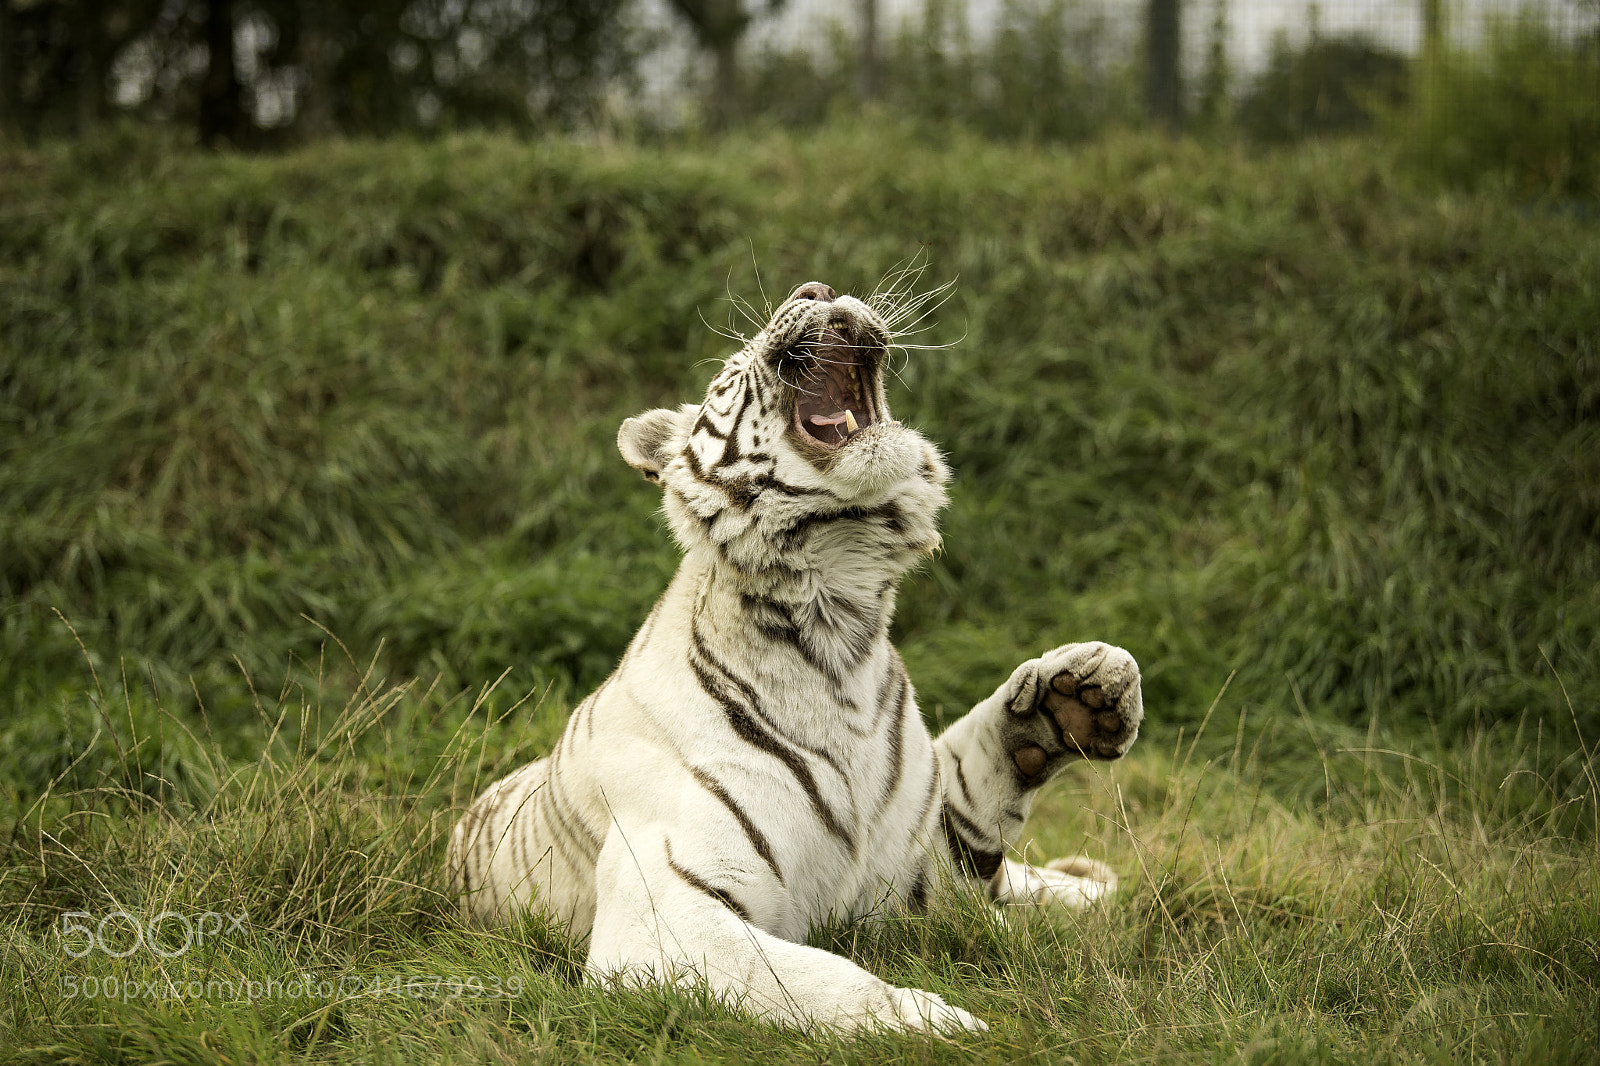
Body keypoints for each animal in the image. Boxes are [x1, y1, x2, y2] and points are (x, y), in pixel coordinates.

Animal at [446, 280, 1145, 1033]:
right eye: (730, 371)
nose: (817, 288)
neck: (840, 626)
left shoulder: (916, 875)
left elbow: (973, 800)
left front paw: (1079, 691)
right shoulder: (662, 913)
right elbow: (817, 978)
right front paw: (939, 1024)